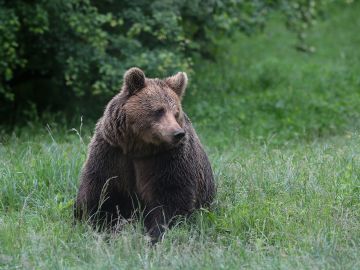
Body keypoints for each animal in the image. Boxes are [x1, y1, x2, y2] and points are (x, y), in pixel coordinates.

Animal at [73, 68, 214, 243]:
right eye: (159, 110)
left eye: (176, 113)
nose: (177, 133)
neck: (139, 148)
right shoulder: (111, 153)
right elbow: (98, 189)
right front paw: (92, 223)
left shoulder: (167, 160)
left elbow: (171, 197)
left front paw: (156, 233)